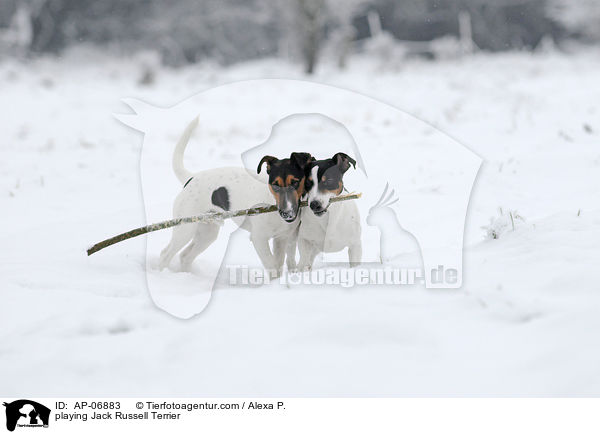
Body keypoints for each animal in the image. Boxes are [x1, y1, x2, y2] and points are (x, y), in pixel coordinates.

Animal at [157, 118, 312, 274]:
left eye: (295, 182)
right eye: (275, 185)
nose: (287, 212)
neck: (272, 202)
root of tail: (192, 178)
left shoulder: (283, 238)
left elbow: (281, 264)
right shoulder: (259, 238)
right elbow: (272, 265)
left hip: (207, 233)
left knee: (185, 256)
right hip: (185, 229)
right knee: (165, 254)